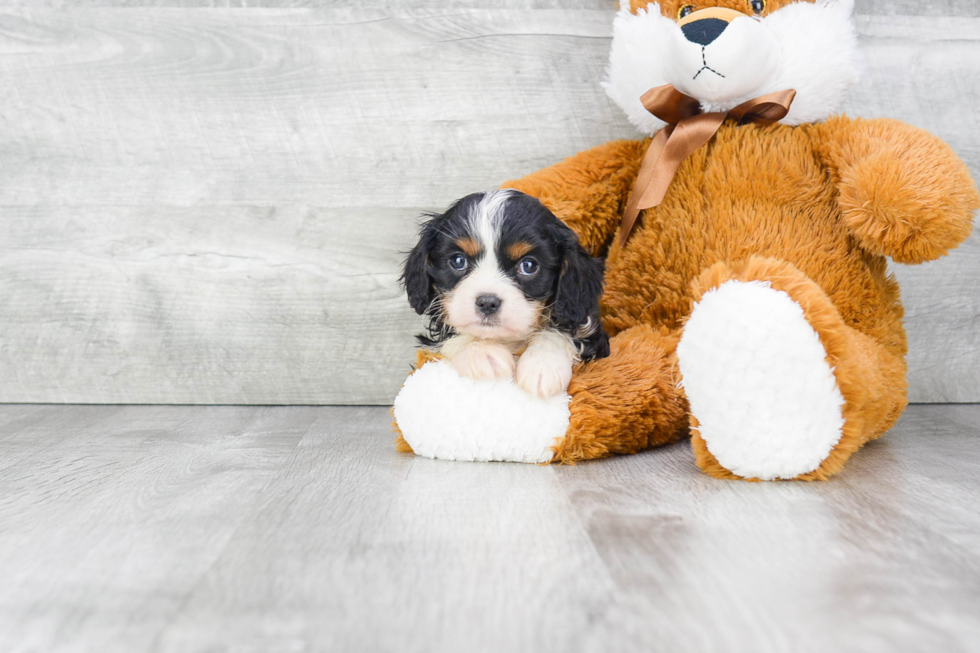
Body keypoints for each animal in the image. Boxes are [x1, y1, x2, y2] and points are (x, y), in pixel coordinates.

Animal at [402, 186, 608, 394]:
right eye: (458, 261)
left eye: (528, 265)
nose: (487, 303)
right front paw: (482, 352)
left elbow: (559, 331)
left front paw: (542, 365)